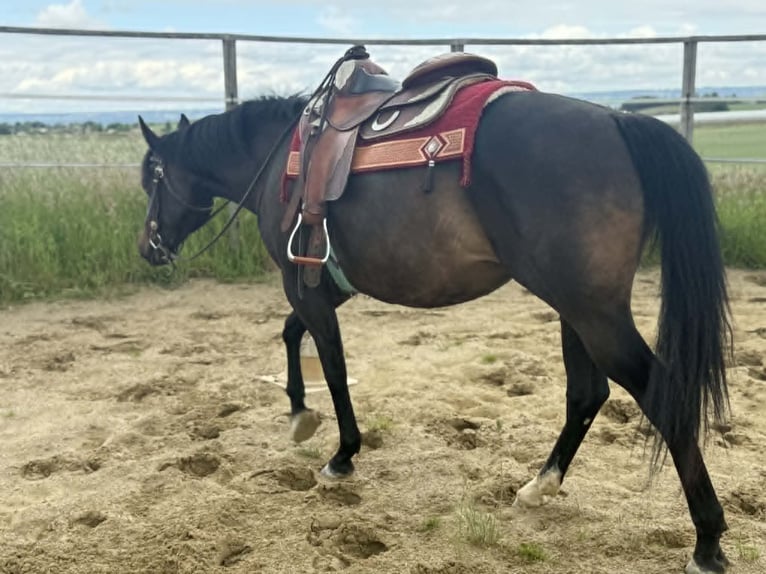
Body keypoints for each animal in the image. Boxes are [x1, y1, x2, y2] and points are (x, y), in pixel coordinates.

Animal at [135, 51, 732, 574]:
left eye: (151, 179)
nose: (149, 248)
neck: (283, 159)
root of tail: (616, 119)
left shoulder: (303, 285)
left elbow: (332, 366)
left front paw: (341, 454)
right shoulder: (325, 285)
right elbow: (290, 335)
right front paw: (300, 415)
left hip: (594, 314)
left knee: (659, 395)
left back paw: (707, 542)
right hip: (576, 308)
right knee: (587, 393)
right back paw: (539, 486)